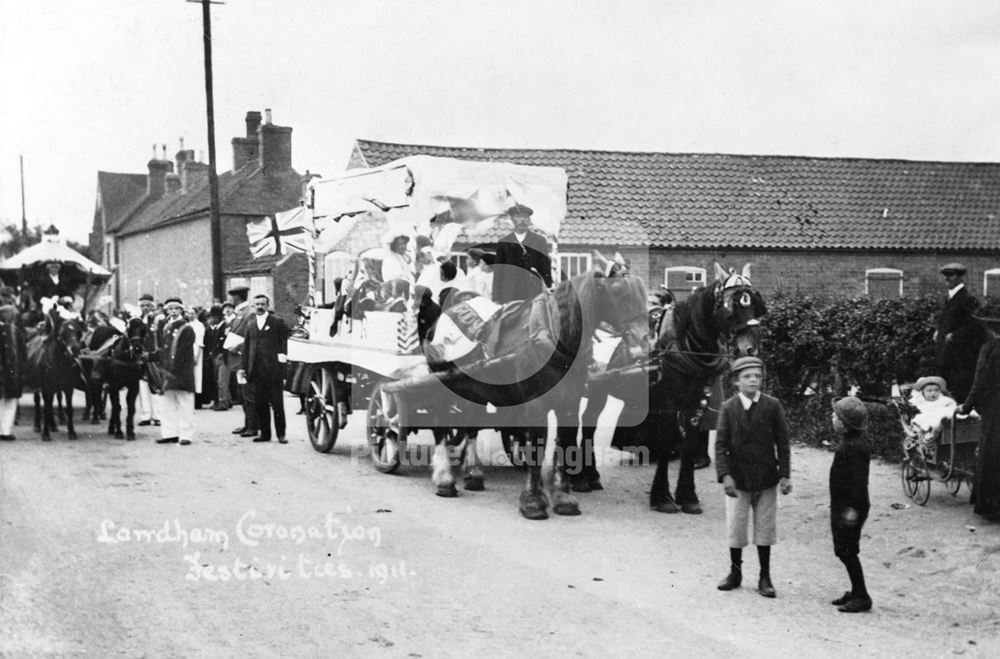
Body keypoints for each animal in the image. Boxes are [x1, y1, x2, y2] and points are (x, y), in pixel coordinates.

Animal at [420, 272, 648, 520]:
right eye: (617, 291)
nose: (645, 340)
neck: (554, 336)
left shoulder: (570, 403)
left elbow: (565, 444)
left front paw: (564, 497)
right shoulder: (536, 404)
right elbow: (537, 448)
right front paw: (533, 501)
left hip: (474, 388)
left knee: (471, 424)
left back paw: (473, 473)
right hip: (445, 385)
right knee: (440, 423)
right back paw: (444, 479)